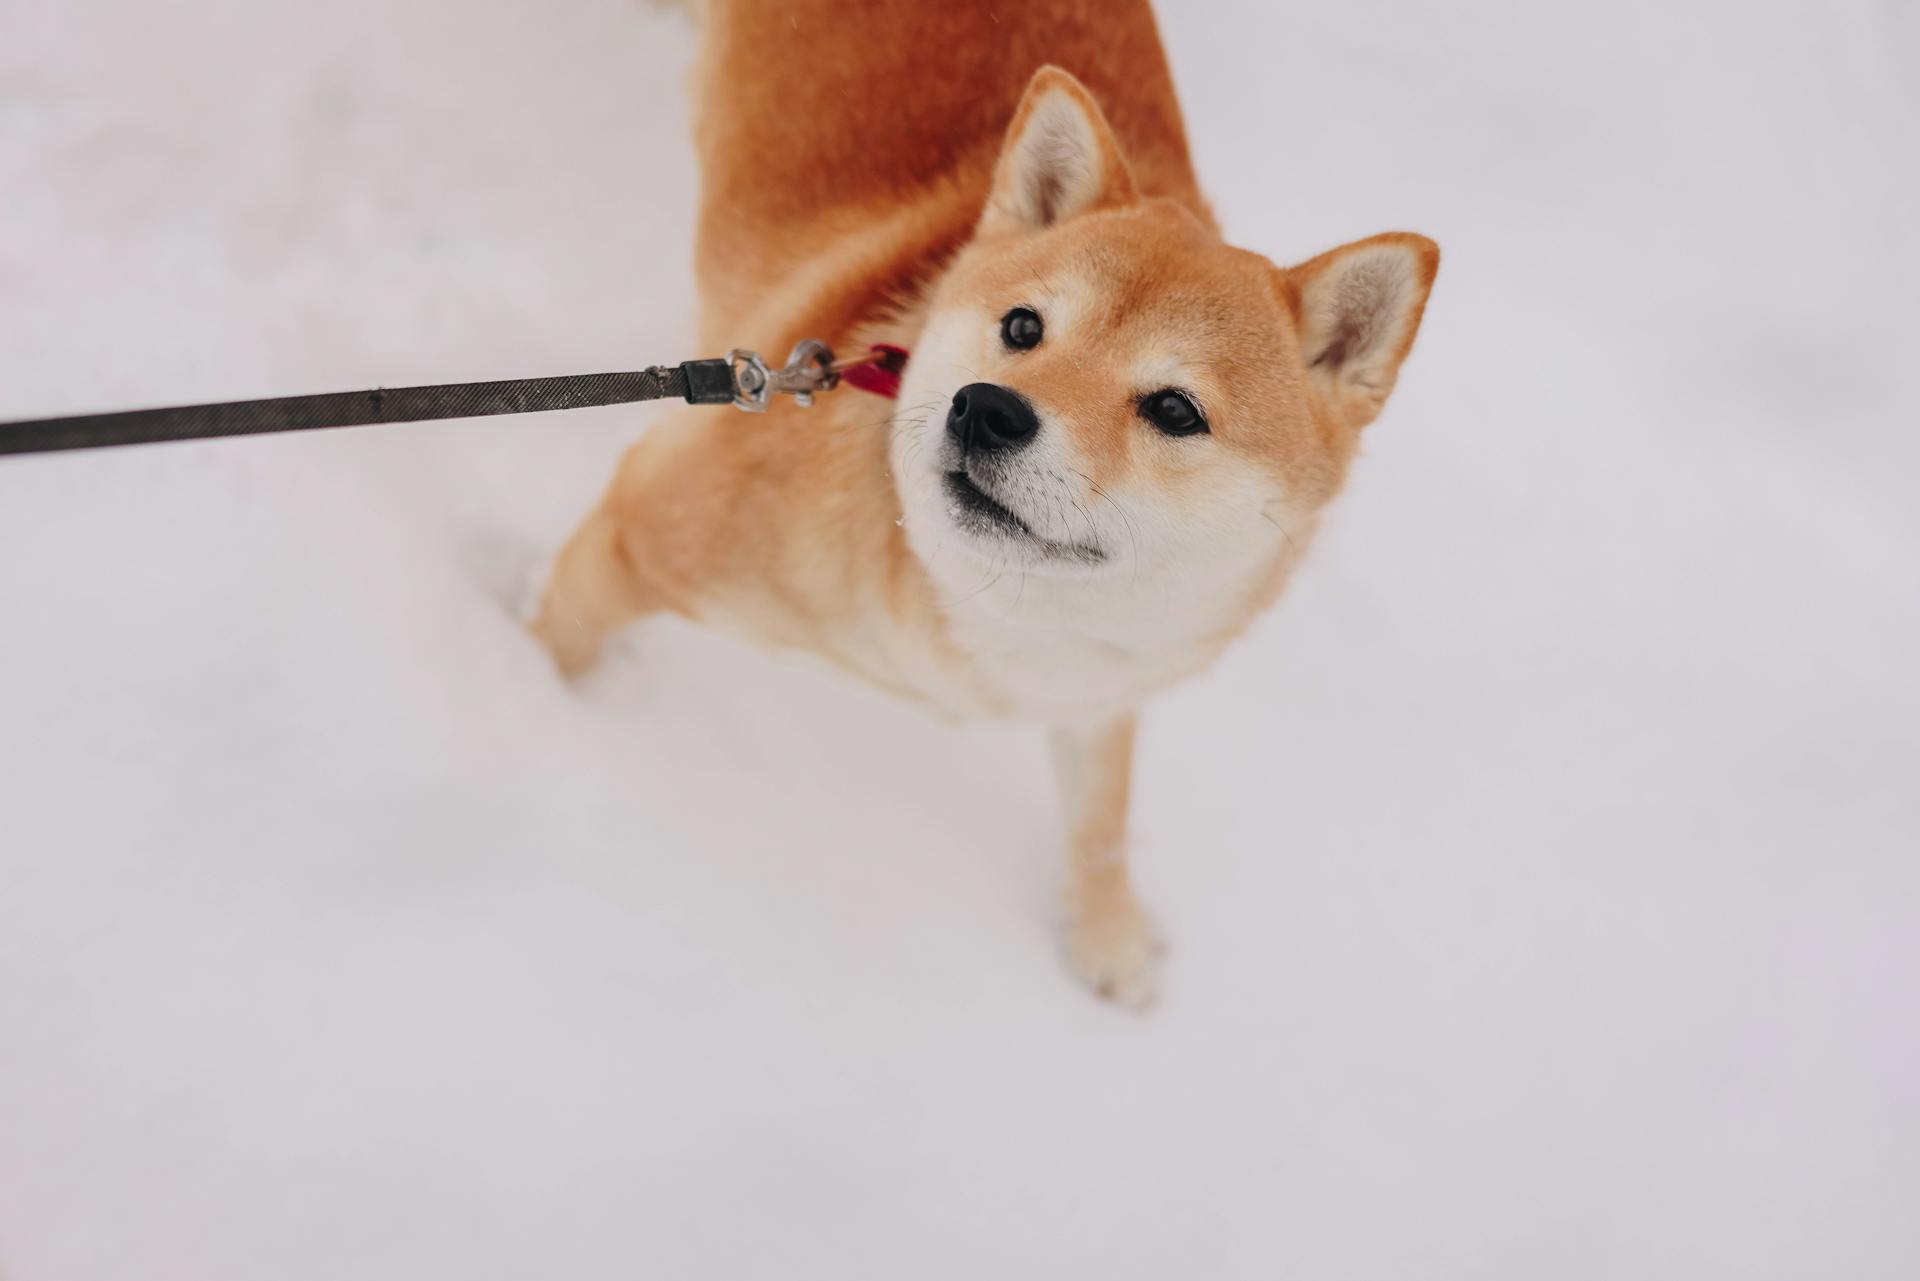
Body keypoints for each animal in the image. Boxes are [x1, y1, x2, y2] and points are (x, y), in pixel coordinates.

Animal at [533, 0, 1436, 1014]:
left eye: (1175, 409)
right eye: (1023, 326)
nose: (987, 409)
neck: (978, 605)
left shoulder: (1099, 686)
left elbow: (1101, 819)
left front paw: (1107, 931)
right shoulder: (643, 524)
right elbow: (560, 637)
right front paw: (527, 705)